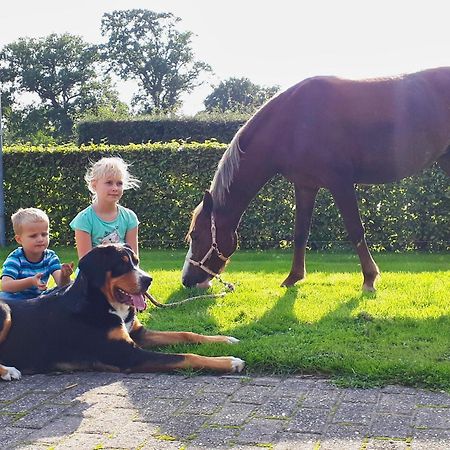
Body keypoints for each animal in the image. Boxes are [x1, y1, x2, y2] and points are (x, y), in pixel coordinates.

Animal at [0, 243, 244, 380]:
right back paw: (9, 371)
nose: (148, 280)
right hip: (5, 311)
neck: (104, 303)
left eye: (136, 261)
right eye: (121, 264)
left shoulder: (137, 333)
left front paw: (225, 340)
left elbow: (185, 334)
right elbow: (186, 356)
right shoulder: (128, 355)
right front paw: (229, 362)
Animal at [182, 67, 450, 292]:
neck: (294, 122)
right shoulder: (305, 186)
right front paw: (293, 277)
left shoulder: (341, 183)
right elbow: (300, 232)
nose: (186, 280)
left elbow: (355, 229)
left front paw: (369, 278)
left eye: (196, 235)